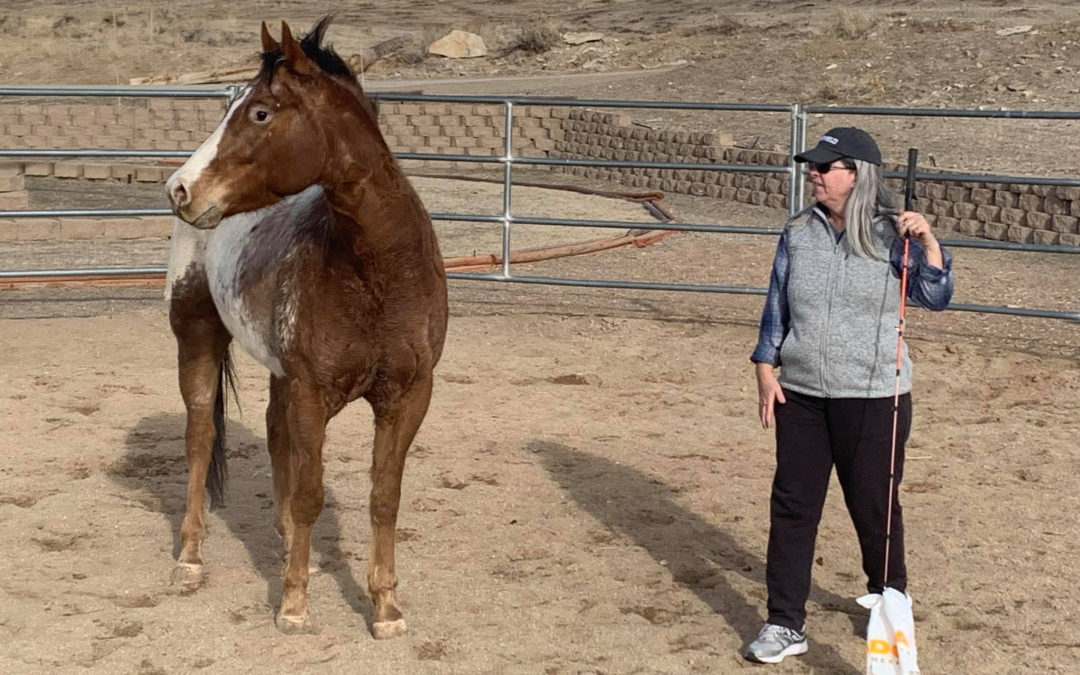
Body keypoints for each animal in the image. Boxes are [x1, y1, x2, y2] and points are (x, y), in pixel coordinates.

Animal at [163, 17, 448, 638]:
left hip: (279, 373)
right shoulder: (314, 394)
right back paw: (190, 558)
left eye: (260, 112)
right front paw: (293, 605)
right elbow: (311, 492)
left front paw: (386, 608)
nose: (179, 189)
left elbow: (383, 496)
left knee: (274, 435)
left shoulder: (408, 396)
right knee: (200, 438)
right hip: (197, 337)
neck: (379, 273)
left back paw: (289, 544)